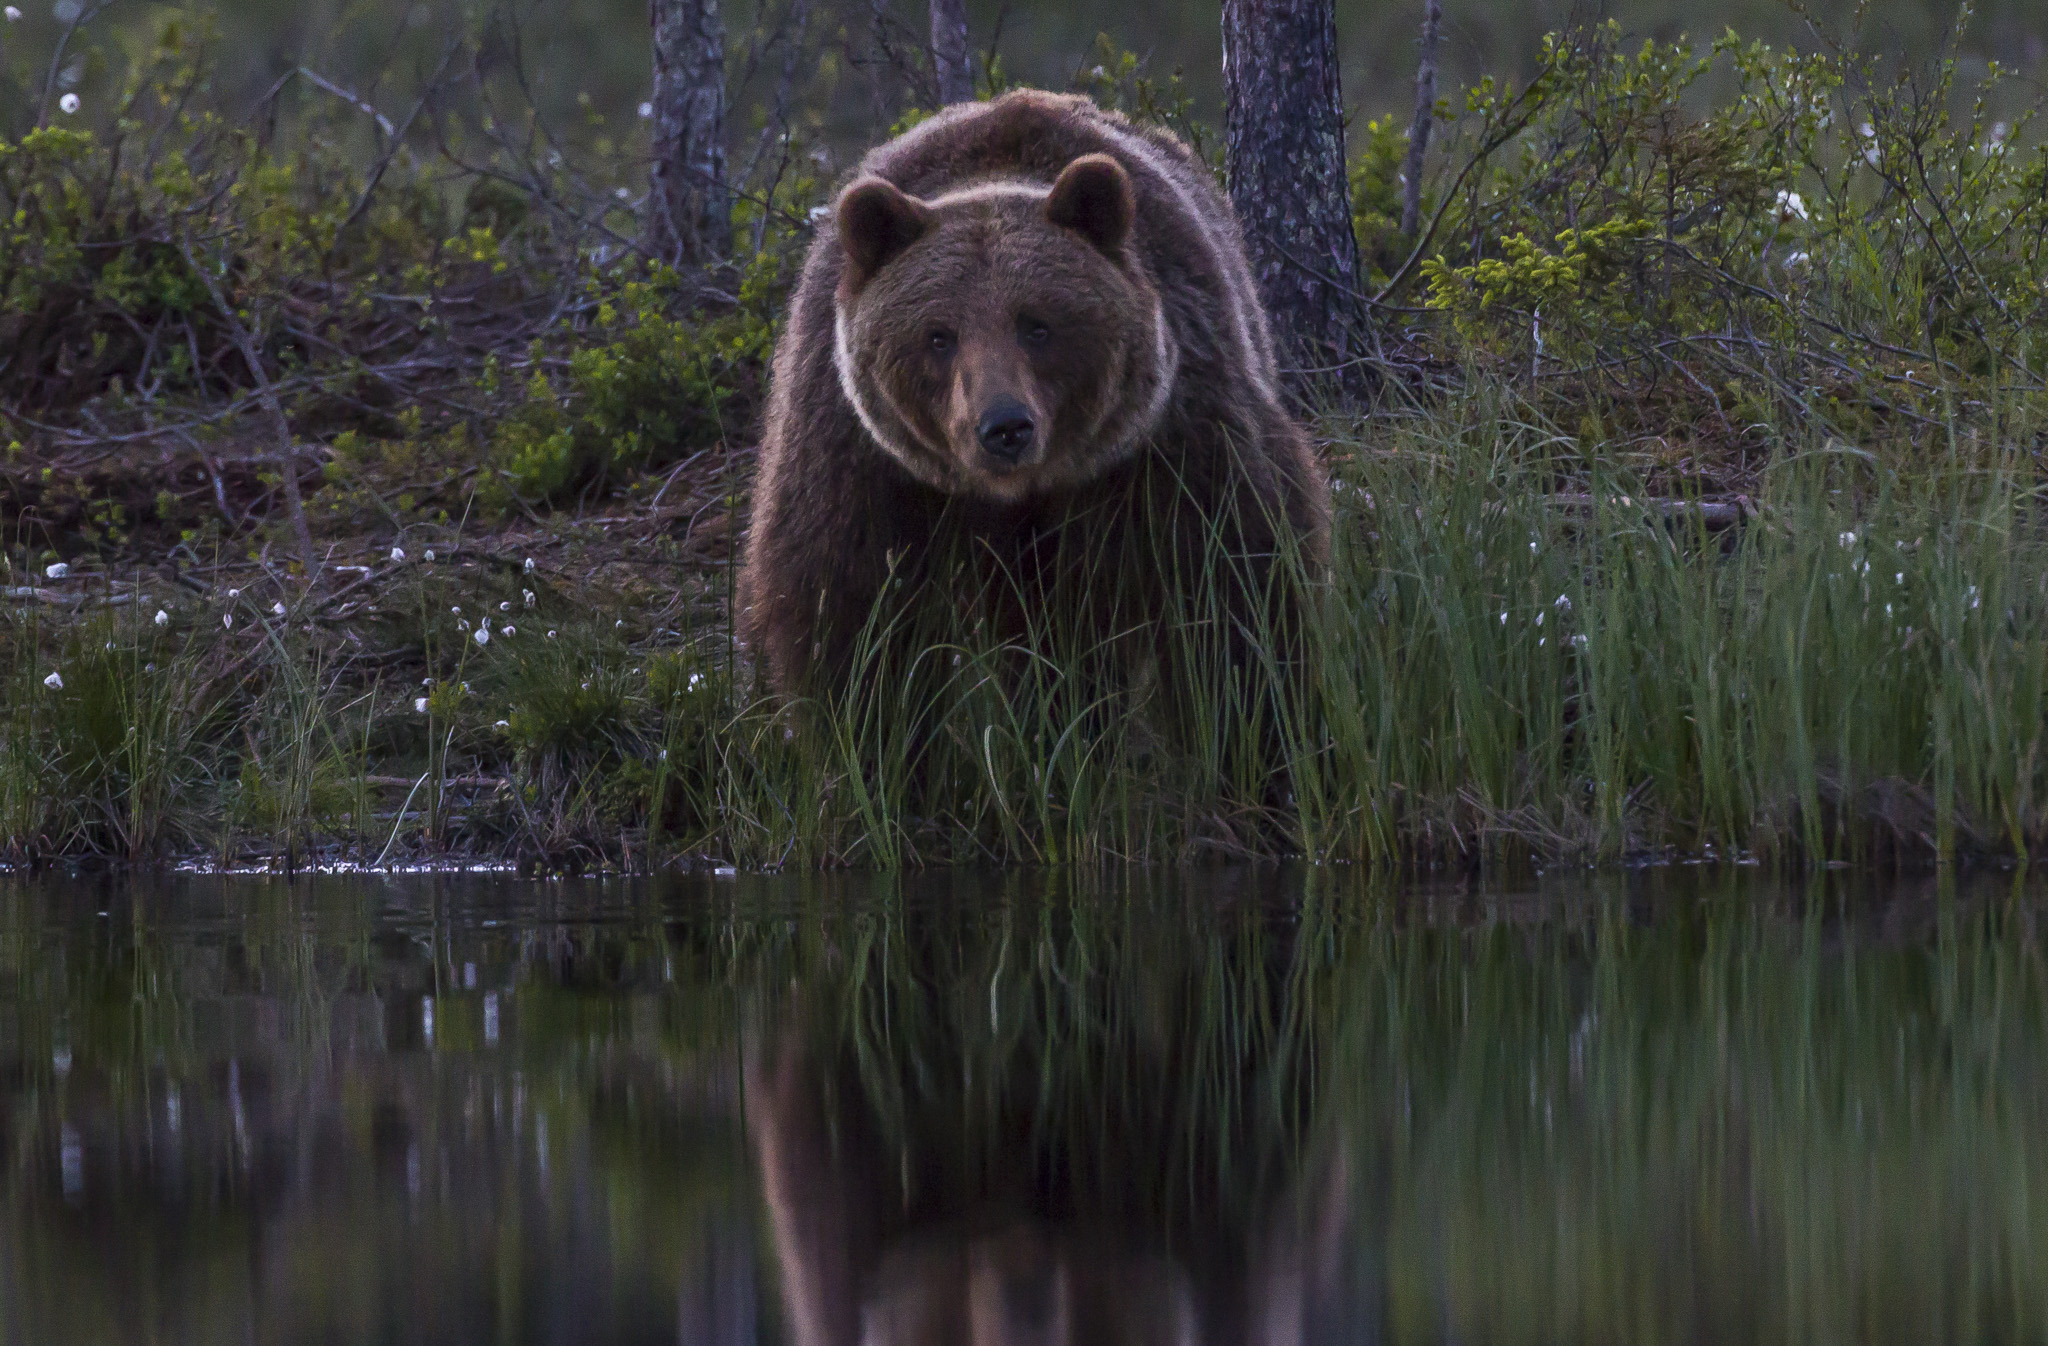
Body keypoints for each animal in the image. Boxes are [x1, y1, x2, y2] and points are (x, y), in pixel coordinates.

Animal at [737, 89, 1330, 701]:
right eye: (938, 335)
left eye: (1037, 325)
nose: (1005, 427)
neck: (1017, 492)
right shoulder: (862, 460)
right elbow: (852, 619)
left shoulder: (1174, 436)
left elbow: (1233, 586)